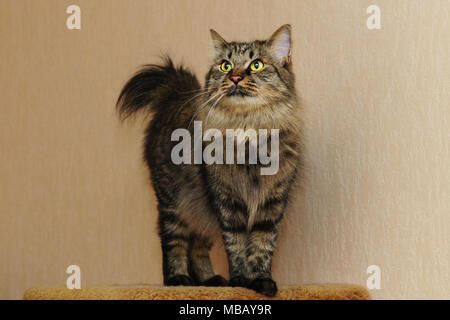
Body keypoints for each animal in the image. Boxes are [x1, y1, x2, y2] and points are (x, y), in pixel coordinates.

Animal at [118, 25, 304, 298]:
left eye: (256, 65)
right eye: (225, 66)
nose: (235, 77)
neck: (247, 129)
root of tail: (175, 95)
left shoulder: (272, 203)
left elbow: (262, 246)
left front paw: (261, 282)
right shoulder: (227, 202)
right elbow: (236, 246)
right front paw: (240, 281)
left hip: (201, 210)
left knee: (198, 246)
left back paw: (210, 281)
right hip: (174, 202)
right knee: (173, 242)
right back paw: (178, 279)